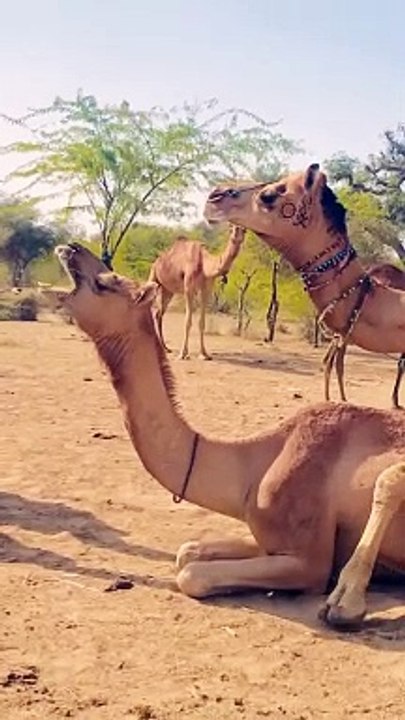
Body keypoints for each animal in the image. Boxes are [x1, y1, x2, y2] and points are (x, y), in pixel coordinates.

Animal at [52, 241, 405, 628]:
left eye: (108, 283)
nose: (71, 248)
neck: (252, 467)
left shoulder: (309, 559)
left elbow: (191, 575)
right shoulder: (268, 538)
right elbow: (187, 551)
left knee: (388, 481)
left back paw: (345, 605)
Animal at [148, 225, 245, 359]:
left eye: (244, 231)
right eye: (232, 229)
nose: (237, 237)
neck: (204, 264)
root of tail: (157, 261)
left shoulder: (206, 290)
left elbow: (201, 322)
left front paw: (204, 354)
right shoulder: (188, 288)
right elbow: (188, 321)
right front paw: (183, 354)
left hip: (168, 290)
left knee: (159, 313)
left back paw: (165, 348)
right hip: (153, 276)